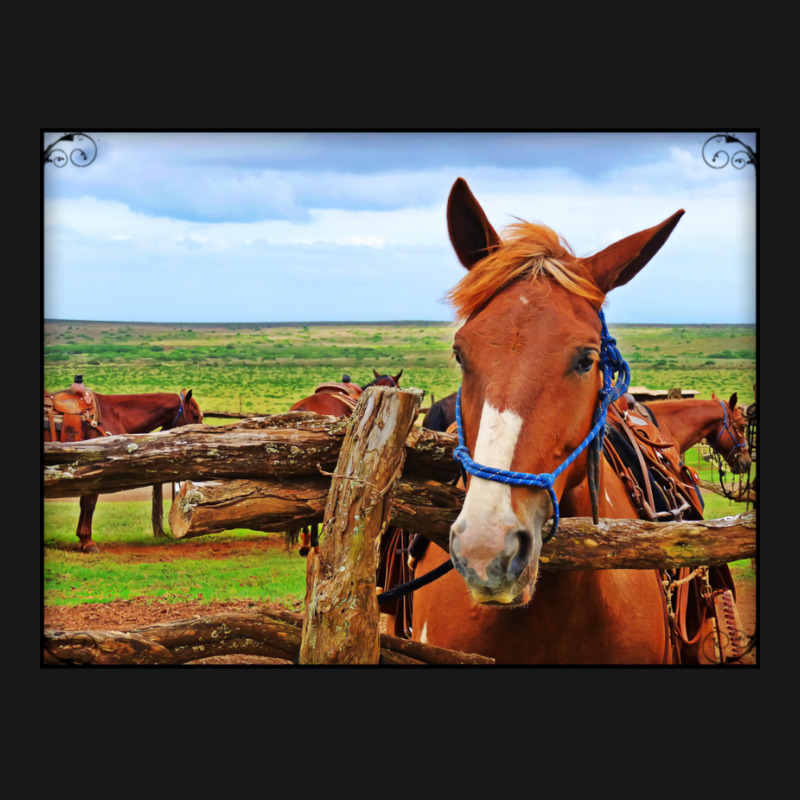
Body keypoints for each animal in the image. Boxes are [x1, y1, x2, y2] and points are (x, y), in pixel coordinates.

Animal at [43, 386, 203, 552]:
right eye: (196, 415)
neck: (115, 415)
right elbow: (89, 504)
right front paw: (88, 541)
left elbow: (84, 503)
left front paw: (82, 540)